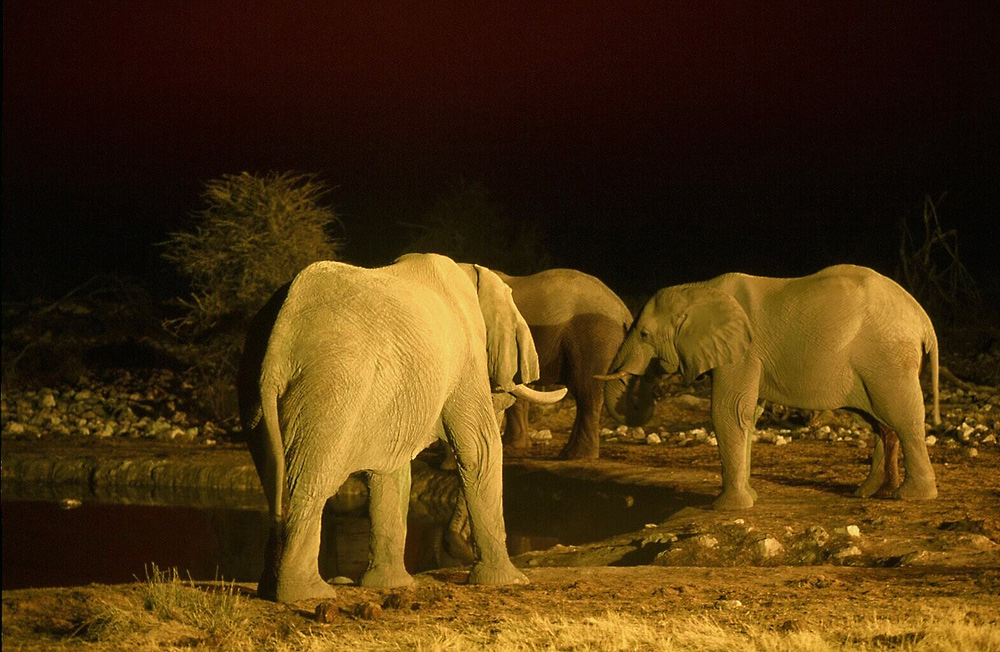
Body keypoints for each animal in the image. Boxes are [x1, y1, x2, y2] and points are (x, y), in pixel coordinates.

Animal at [231, 253, 568, 600]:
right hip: (330, 386)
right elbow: (480, 448)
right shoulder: (465, 352)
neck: (469, 272)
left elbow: (391, 470)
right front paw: (510, 581)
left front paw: (392, 585)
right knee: (310, 482)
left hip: (255, 390)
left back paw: (271, 589)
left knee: (275, 479)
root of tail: (279, 338)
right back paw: (308, 594)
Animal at [600, 264, 936, 510]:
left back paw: (911, 496)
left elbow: (729, 410)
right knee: (880, 422)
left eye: (644, 334)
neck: (699, 288)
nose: (650, 379)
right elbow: (748, 415)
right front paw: (750, 498)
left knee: (902, 417)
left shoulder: (744, 351)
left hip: (888, 356)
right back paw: (869, 492)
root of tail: (923, 318)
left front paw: (726, 507)